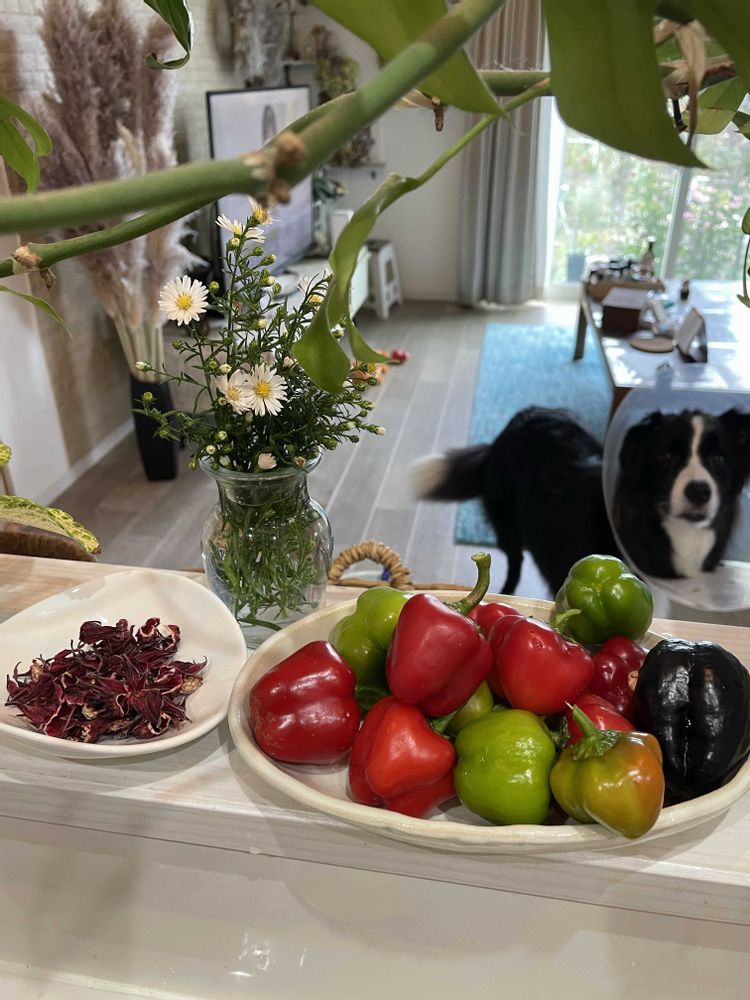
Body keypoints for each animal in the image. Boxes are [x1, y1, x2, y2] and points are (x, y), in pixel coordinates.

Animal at [414, 405, 750, 595]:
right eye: (665, 457)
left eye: (719, 459)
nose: (699, 492)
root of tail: (518, 419)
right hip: (507, 522)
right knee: (514, 562)